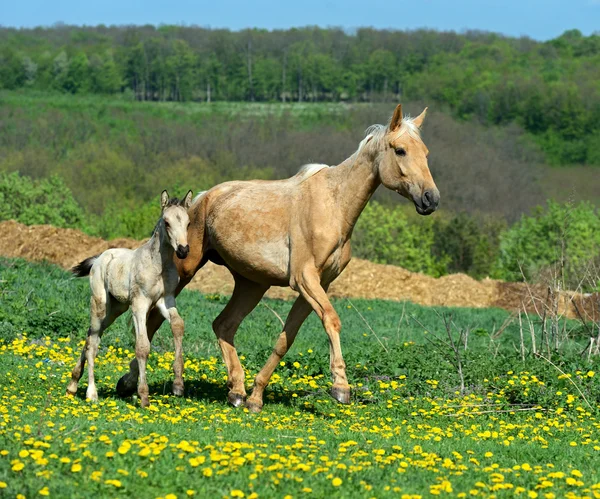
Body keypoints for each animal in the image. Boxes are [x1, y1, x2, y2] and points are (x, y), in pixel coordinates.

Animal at [66, 189, 192, 408]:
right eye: (166, 222)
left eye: (188, 223)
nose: (183, 250)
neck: (158, 264)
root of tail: (100, 257)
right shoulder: (140, 304)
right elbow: (142, 346)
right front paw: (143, 396)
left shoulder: (165, 300)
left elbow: (178, 325)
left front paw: (178, 384)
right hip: (100, 304)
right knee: (93, 343)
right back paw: (91, 393)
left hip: (115, 309)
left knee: (90, 336)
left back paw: (73, 385)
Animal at [115, 103, 438, 412]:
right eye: (400, 150)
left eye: (426, 152)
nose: (431, 199)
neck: (333, 205)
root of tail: (201, 198)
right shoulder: (305, 280)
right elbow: (332, 320)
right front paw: (341, 387)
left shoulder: (319, 284)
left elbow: (286, 338)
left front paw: (256, 397)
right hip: (184, 273)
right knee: (155, 320)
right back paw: (130, 383)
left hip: (252, 284)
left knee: (223, 325)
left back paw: (237, 391)